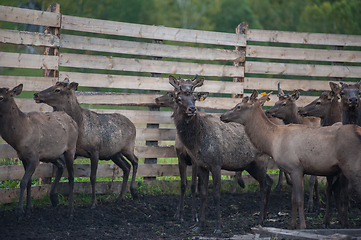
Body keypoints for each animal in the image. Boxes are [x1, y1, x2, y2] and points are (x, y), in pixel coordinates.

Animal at [0, 84, 78, 221]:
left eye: (1, 97)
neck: (18, 137)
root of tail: (74, 122)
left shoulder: (34, 157)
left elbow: (23, 182)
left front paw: (19, 212)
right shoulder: (23, 157)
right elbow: (29, 182)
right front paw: (28, 210)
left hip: (70, 149)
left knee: (71, 177)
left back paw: (70, 211)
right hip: (51, 154)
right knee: (60, 165)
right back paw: (54, 198)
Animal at [165, 74, 272, 232]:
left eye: (194, 98)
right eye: (179, 98)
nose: (192, 109)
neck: (198, 139)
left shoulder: (216, 163)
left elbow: (216, 193)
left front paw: (218, 226)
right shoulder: (201, 164)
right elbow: (203, 192)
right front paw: (199, 225)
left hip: (261, 161)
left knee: (263, 187)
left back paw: (259, 220)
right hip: (250, 165)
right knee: (269, 182)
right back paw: (263, 218)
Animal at [219, 89, 360, 229]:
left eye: (238, 106)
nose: (222, 116)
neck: (272, 142)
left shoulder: (296, 168)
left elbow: (299, 199)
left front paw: (302, 225)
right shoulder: (293, 170)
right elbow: (293, 199)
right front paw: (292, 225)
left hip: (352, 166)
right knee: (337, 190)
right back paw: (341, 222)